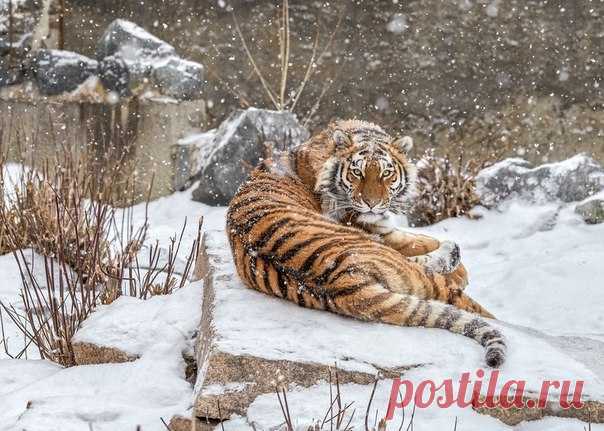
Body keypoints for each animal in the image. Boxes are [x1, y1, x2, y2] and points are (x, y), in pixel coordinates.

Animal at [225, 119, 504, 368]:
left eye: (386, 173)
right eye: (356, 172)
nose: (371, 204)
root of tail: (342, 281)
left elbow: (421, 239)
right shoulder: (379, 229)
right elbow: (419, 240)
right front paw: (460, 269)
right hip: (395, 261)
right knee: (452, 290)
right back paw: (454, 257)